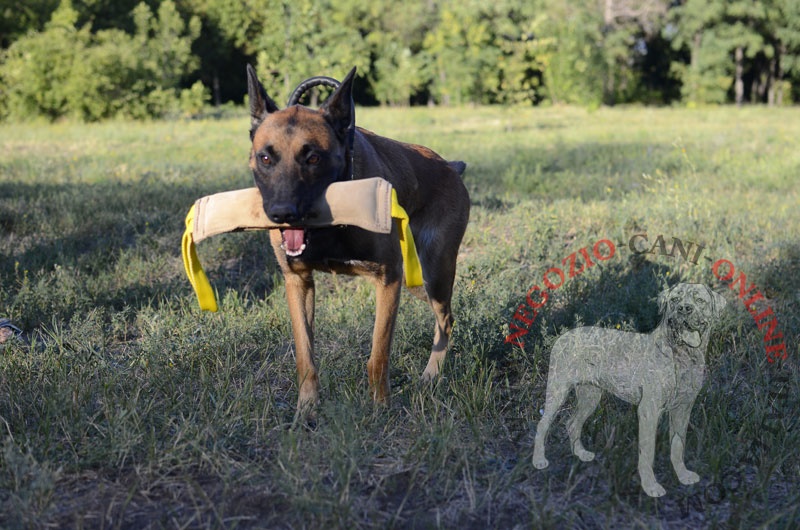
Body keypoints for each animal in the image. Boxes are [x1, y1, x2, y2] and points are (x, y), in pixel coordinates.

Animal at [244, 66, 468, 410]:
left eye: (313, 158)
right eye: (265, 158)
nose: (283, 213)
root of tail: (451, 167)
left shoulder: (387, 280)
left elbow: (378, 356)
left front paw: (380, 409)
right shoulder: (298, 283)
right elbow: (305, 357)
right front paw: (306, 410)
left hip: (434, 276)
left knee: (446, 320)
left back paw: (431, 376)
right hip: (415, 283)